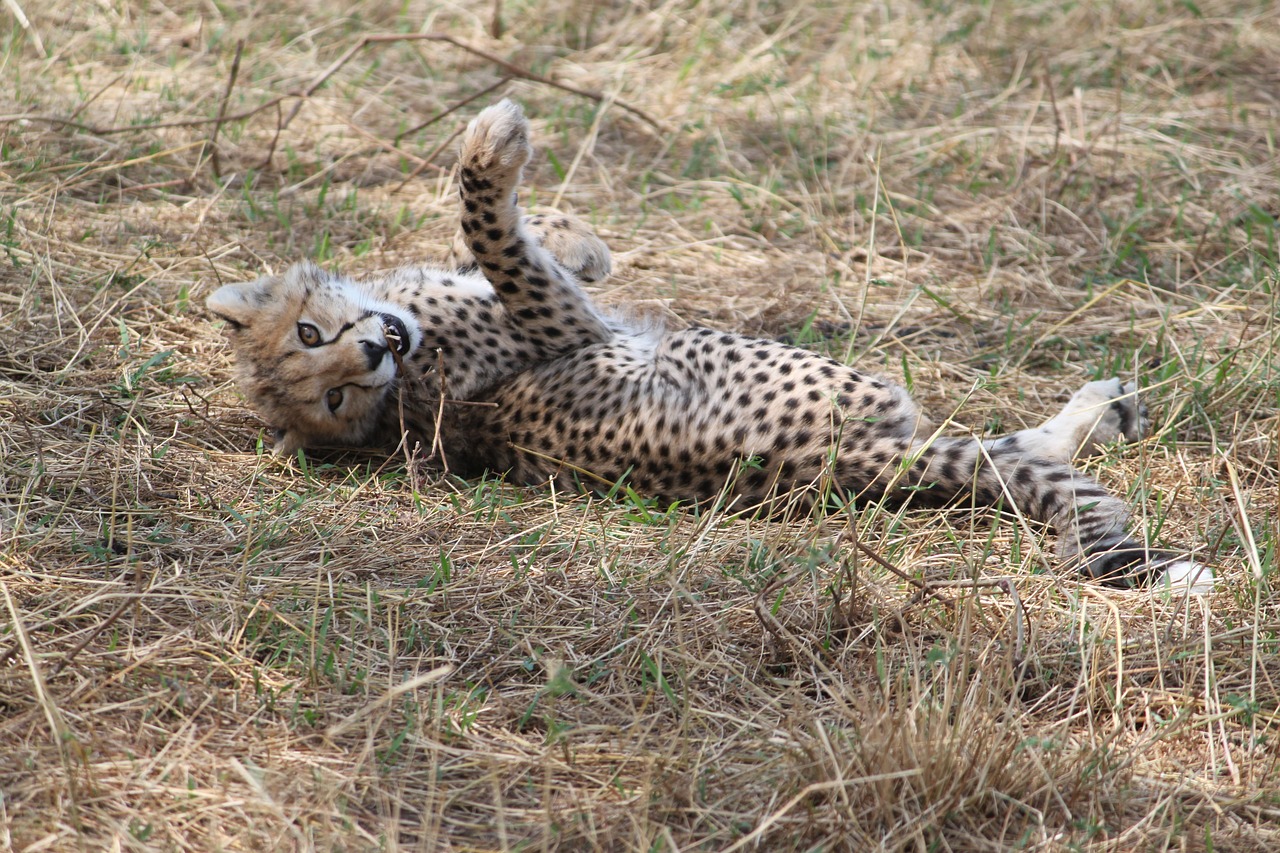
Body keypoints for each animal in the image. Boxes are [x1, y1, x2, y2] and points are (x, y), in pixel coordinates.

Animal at [207, 99, 1208, 591]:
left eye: (313, 335)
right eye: (331, 394)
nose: (372, 355)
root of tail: (830, 470)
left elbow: (516, 246)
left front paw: (577, 231)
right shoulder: (561, 324)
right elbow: (495, 232)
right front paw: (496, 150)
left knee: (1015, 447)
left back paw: (1108, 406)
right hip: (845, 389)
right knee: (1014, 452)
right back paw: (1105, 411)